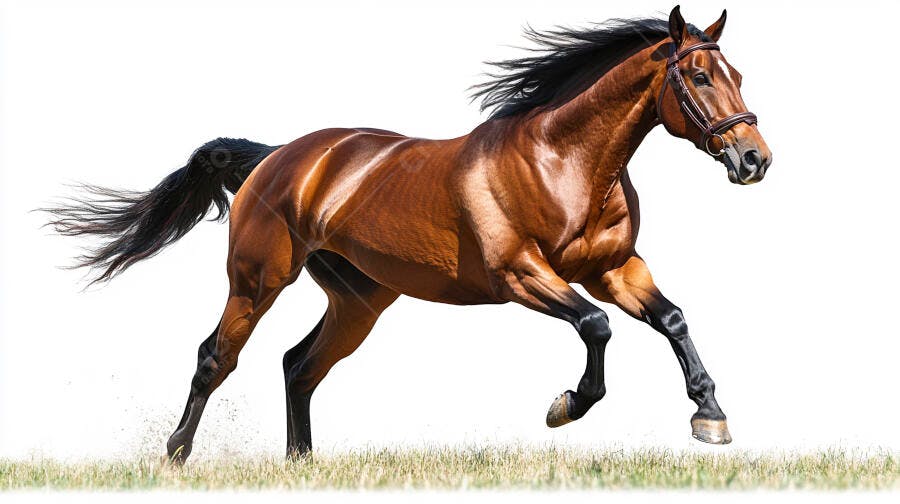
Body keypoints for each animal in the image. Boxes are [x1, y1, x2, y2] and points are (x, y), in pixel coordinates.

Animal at [44, 6, 771, 462]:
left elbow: (672, 319)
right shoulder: (521, 274)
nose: (754, 160)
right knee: (215, 357)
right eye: (700, 76)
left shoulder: (616, 268)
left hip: (359, 300)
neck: (563, 161)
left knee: (299, 365)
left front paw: (709, 417)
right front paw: (566, 406)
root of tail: (278, 157)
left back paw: (301, 464)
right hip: (257, 281)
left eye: (738, 75)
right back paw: (175, 453)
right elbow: (596, 327)